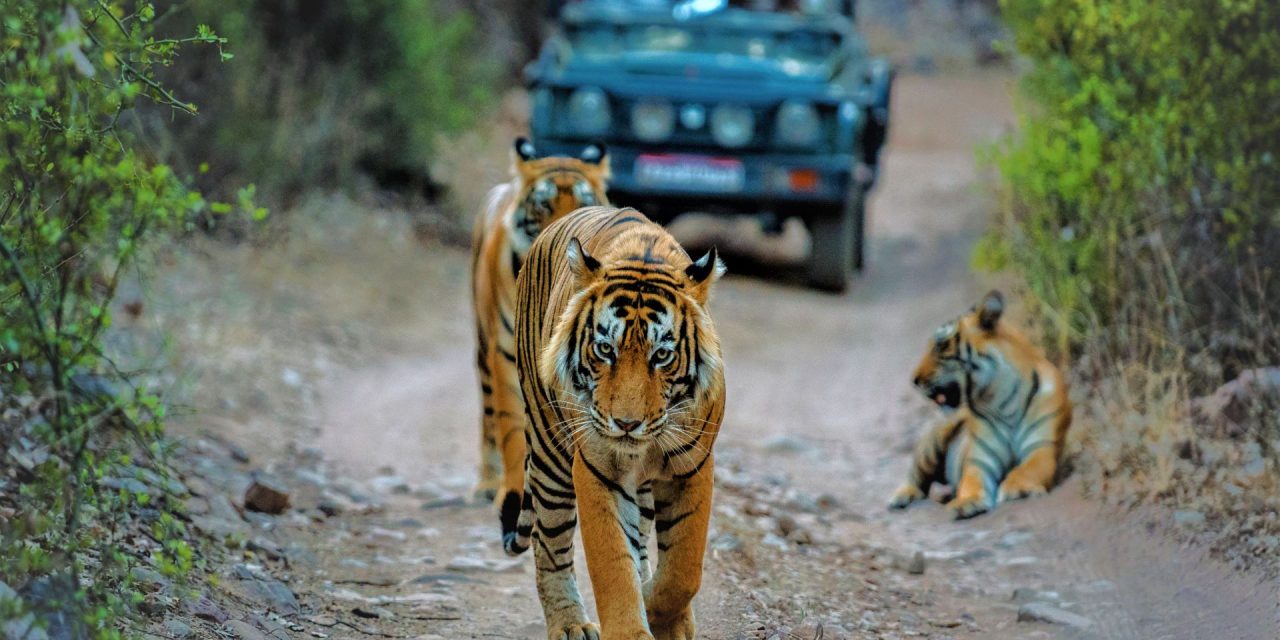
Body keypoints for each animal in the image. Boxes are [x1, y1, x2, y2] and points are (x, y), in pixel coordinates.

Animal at [472, 137, 610, 505]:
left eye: (583, 203)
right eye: (544, 205)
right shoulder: (506, 354)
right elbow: (511, 429)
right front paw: (512, 490)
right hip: (483, 347)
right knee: (488, 416)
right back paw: (487, 484)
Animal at [507, 206, 726, 640]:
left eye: (662, 355)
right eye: (605, 349)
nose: (626, 424)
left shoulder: (694, 467)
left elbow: (684, 569)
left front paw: (664, 614)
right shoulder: (598, 469)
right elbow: (612, 563)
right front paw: (634, 625)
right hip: (549, 452)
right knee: (550, 543)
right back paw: (571, 624)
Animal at [888, 290, 1072, 519]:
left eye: (940, 346)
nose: (914, 380)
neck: (1001, 398)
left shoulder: (1041, 447)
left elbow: (1026, 469)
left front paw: (1017, 488)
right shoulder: (979, 459)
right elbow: (971, 480)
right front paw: (965, 502)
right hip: (934, 440)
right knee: (916, 476)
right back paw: (900, 497)